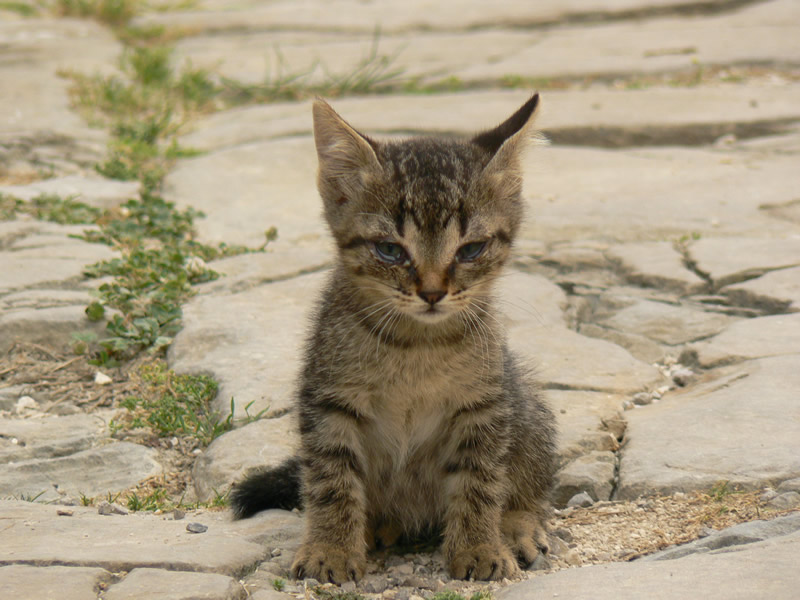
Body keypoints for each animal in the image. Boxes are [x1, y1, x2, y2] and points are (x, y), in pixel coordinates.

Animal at [231, 96, 556, 584]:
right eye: (390, 250)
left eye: (471, 250)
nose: (433, 293)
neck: (416, 346)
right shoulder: (328, 401)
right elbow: (331, 482)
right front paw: (331, 548)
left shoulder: (485, 404)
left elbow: (480, 481)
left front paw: (479, 547)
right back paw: (375, 528)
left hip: (527, 407)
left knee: (530, 482)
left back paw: (516, 526)